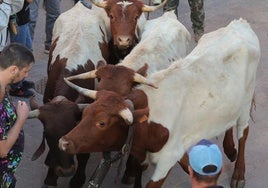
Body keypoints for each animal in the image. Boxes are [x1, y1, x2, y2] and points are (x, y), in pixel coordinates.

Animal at [58, 18, 260, 188]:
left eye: (102, 123)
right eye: (85, 114)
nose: (63, 142)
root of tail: (238, 24)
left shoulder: (166, 161)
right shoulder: (141, 154)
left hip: (246, 100)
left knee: (243, 132)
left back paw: (238, 173)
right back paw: (230, 149)